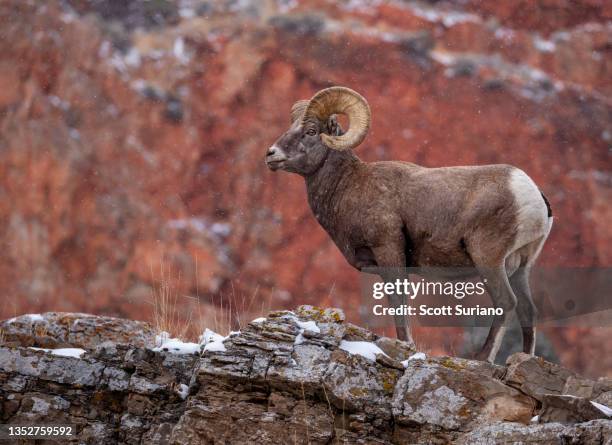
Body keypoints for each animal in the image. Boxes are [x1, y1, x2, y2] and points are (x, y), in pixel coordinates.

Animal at [266, 86, 552, 360]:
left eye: (311, 131)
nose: (271, 154)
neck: (350, 186)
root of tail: (531, 192)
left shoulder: (389, 251)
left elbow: (398, 303)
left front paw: (407, 346)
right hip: (521, 266)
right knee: (528, 310)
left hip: (488, 259)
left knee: (506, 302)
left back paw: (483, 358)